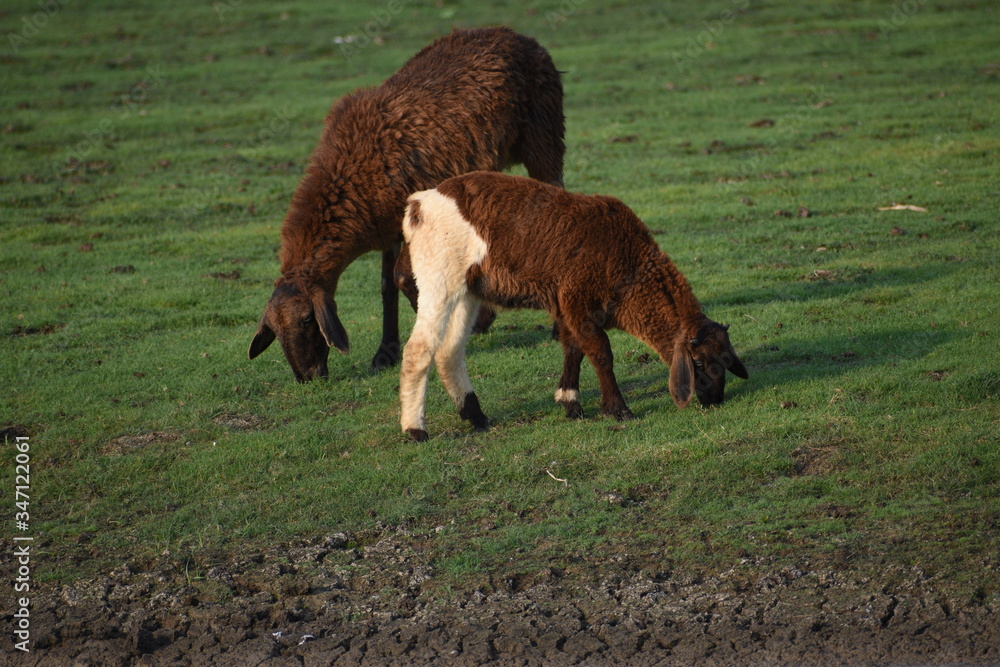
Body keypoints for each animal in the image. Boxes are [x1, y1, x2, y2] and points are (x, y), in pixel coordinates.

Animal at [248, 27, 565, 382]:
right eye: (274, 330)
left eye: (306, 319)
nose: (308, 377)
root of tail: (517, 35)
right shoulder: (387, 226)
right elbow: (387, 285)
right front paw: (385, 352)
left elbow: (403, 277)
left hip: (544, 136)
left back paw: (557, 328)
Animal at [399, 171, 749, 441]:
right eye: (699, 362)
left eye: (725, 360)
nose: (715, 399)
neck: (630, 264)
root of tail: (419, 204)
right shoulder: (577, 299)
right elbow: (601, 354)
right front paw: (618, 409)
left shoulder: (570, 306)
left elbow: (574, 348)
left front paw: (570, 403)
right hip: (438, 279)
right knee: (419, 349)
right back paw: (415, 429)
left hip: (468, 291)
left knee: (449, 352)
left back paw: (476, 416)